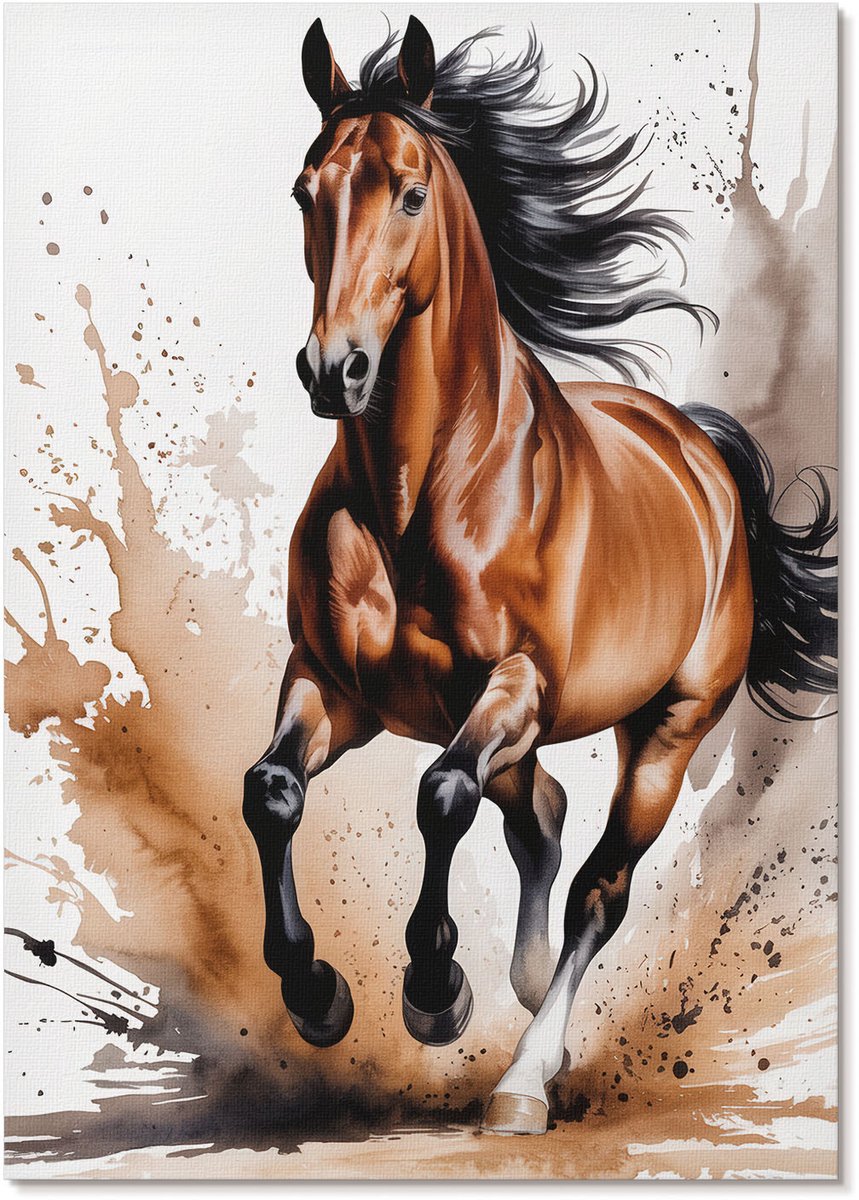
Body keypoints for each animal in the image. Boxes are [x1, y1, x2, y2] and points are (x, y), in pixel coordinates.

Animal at [243, 17, 837, 1135]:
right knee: (541, 818)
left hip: (663, 731)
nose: (333, 369)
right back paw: (521, 993)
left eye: (410, 191)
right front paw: (316, 993)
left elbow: (440, 797)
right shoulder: (334, 686)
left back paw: (524, 1075)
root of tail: (702, 455)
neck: (418, 496)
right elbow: (271, 793)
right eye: (306, 191)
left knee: (594, 887)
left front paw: (435, 992)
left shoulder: (511, 687)